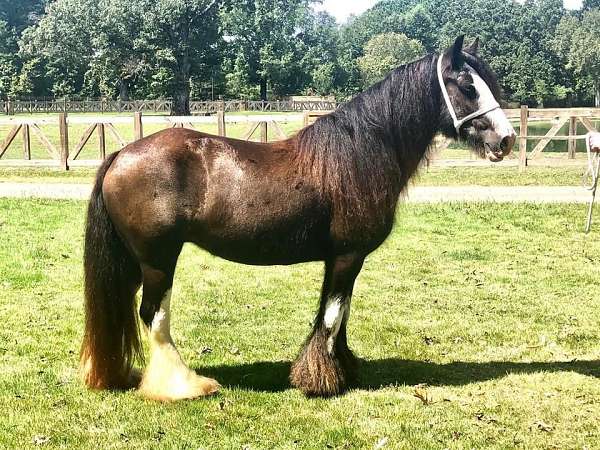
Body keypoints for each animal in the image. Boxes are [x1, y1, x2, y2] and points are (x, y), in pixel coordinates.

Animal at [81, 36, 516, 400]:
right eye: (466, 84)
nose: (506, 139)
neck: (359, 154)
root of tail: (121, 154)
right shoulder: (347, 256)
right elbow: (333, 315)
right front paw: (320, 380)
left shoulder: (340, 259)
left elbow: (338, 313)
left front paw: (341, 368)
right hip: (158, 260)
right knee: (154, 316)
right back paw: (183, 386)